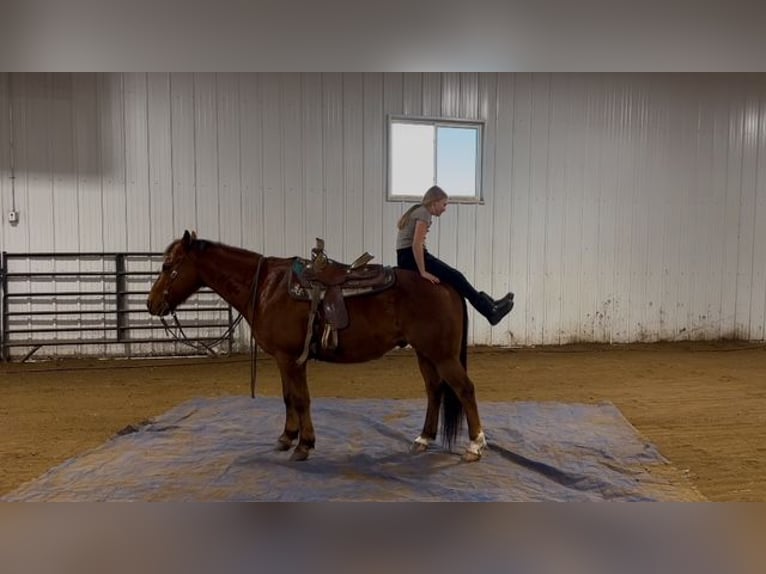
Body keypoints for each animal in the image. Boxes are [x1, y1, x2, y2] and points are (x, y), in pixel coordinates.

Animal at [147, 231, 488, 464]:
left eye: (168, 265)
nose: (151, 304)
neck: (267, 288)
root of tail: (445, 284)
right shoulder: (283, 360)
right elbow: (288, 397)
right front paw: (287, 437)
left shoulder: (290, 359)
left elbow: (301, 399)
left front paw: (304, 444)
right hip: (425, 354)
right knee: (434, 390)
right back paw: (424, 438)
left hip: (443, 355)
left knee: (465, 389)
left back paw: (475, 445)